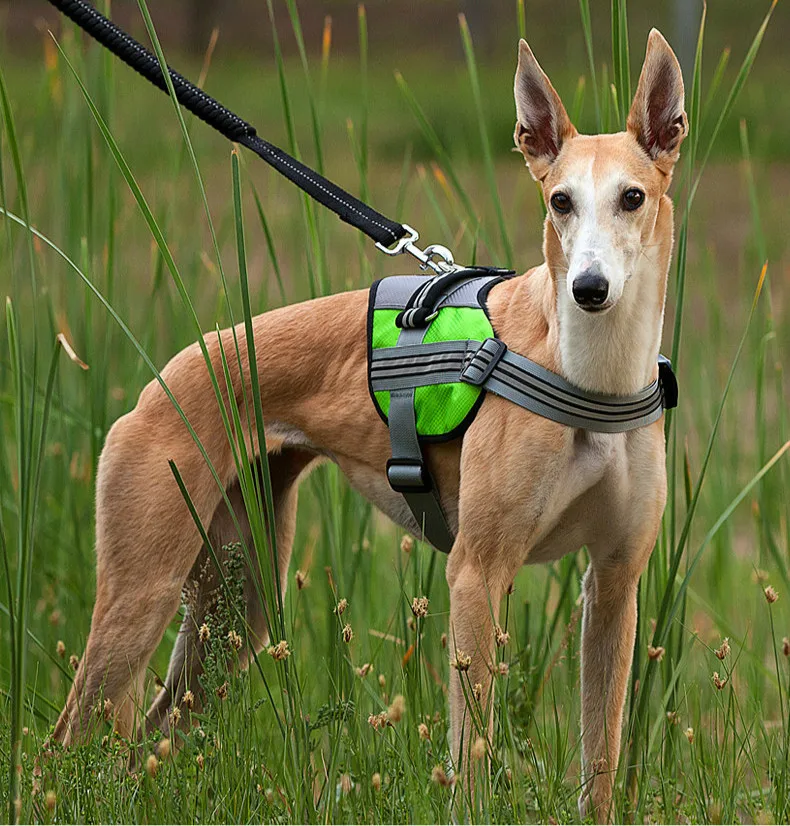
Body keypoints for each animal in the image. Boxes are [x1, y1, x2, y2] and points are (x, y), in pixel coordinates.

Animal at [54, 29, 688, 820]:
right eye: (560, 201)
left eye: (632, 197)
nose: (589, 289)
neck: (590, 377)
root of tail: (161, 381)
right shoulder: (476, 574)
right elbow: (470, 757)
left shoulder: (614, 585)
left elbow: (599, 762)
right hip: (143, 593)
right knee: (66, 741)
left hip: (236, 602)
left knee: (152, 732)